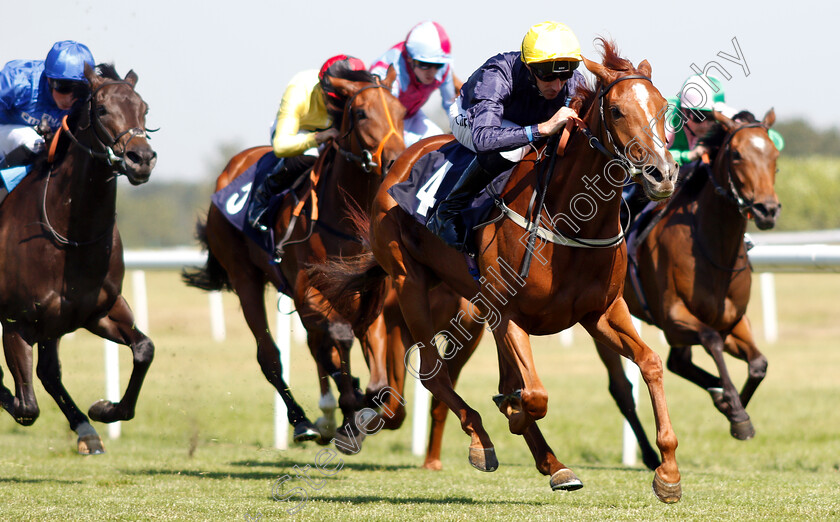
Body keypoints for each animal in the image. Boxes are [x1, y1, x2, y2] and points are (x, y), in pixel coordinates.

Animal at [0, 64, 157, 450]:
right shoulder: (15, 321)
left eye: (144, 109)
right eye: (101, 109)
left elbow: (144, 349)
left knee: (48, 372)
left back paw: (86, 429)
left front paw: (104, 409)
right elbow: (26, 407)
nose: (141, 159)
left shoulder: (98, 311)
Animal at [183, 68, 406, 442]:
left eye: (401, 111)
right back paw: (303, 420)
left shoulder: (369, 292)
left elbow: (370, 352)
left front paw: (365, 397)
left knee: (318, 345)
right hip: (245, 278)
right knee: (271, 355)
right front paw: (350, 405)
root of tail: (232, 166)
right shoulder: (308, 290)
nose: (394, 160)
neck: (341, 217)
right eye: (361, 113)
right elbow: (338, 338)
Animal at [316, 41, 684, 500]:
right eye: (616, 111)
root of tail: (399, 162)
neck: (568, 222)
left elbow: (650, 363)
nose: (662, 173)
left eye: (663, 107)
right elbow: (535, 396)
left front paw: (668, 472)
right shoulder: (508, 314)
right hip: (411, 283)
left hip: (472, 312)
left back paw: (553, 463)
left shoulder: (601, 312)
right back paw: (480, 441)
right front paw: (512, 415)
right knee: (434, 375)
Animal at [596, 107, 780, 466]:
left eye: (775, 156)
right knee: (622, 389)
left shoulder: (733, 321)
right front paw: (735, 411)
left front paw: (733, 407)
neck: (714, 247)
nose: (767, 209)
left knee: (677, 363)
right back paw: (649, 455)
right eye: (736, 155)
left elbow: (759, 364)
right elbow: (711, 341)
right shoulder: (674, 319)